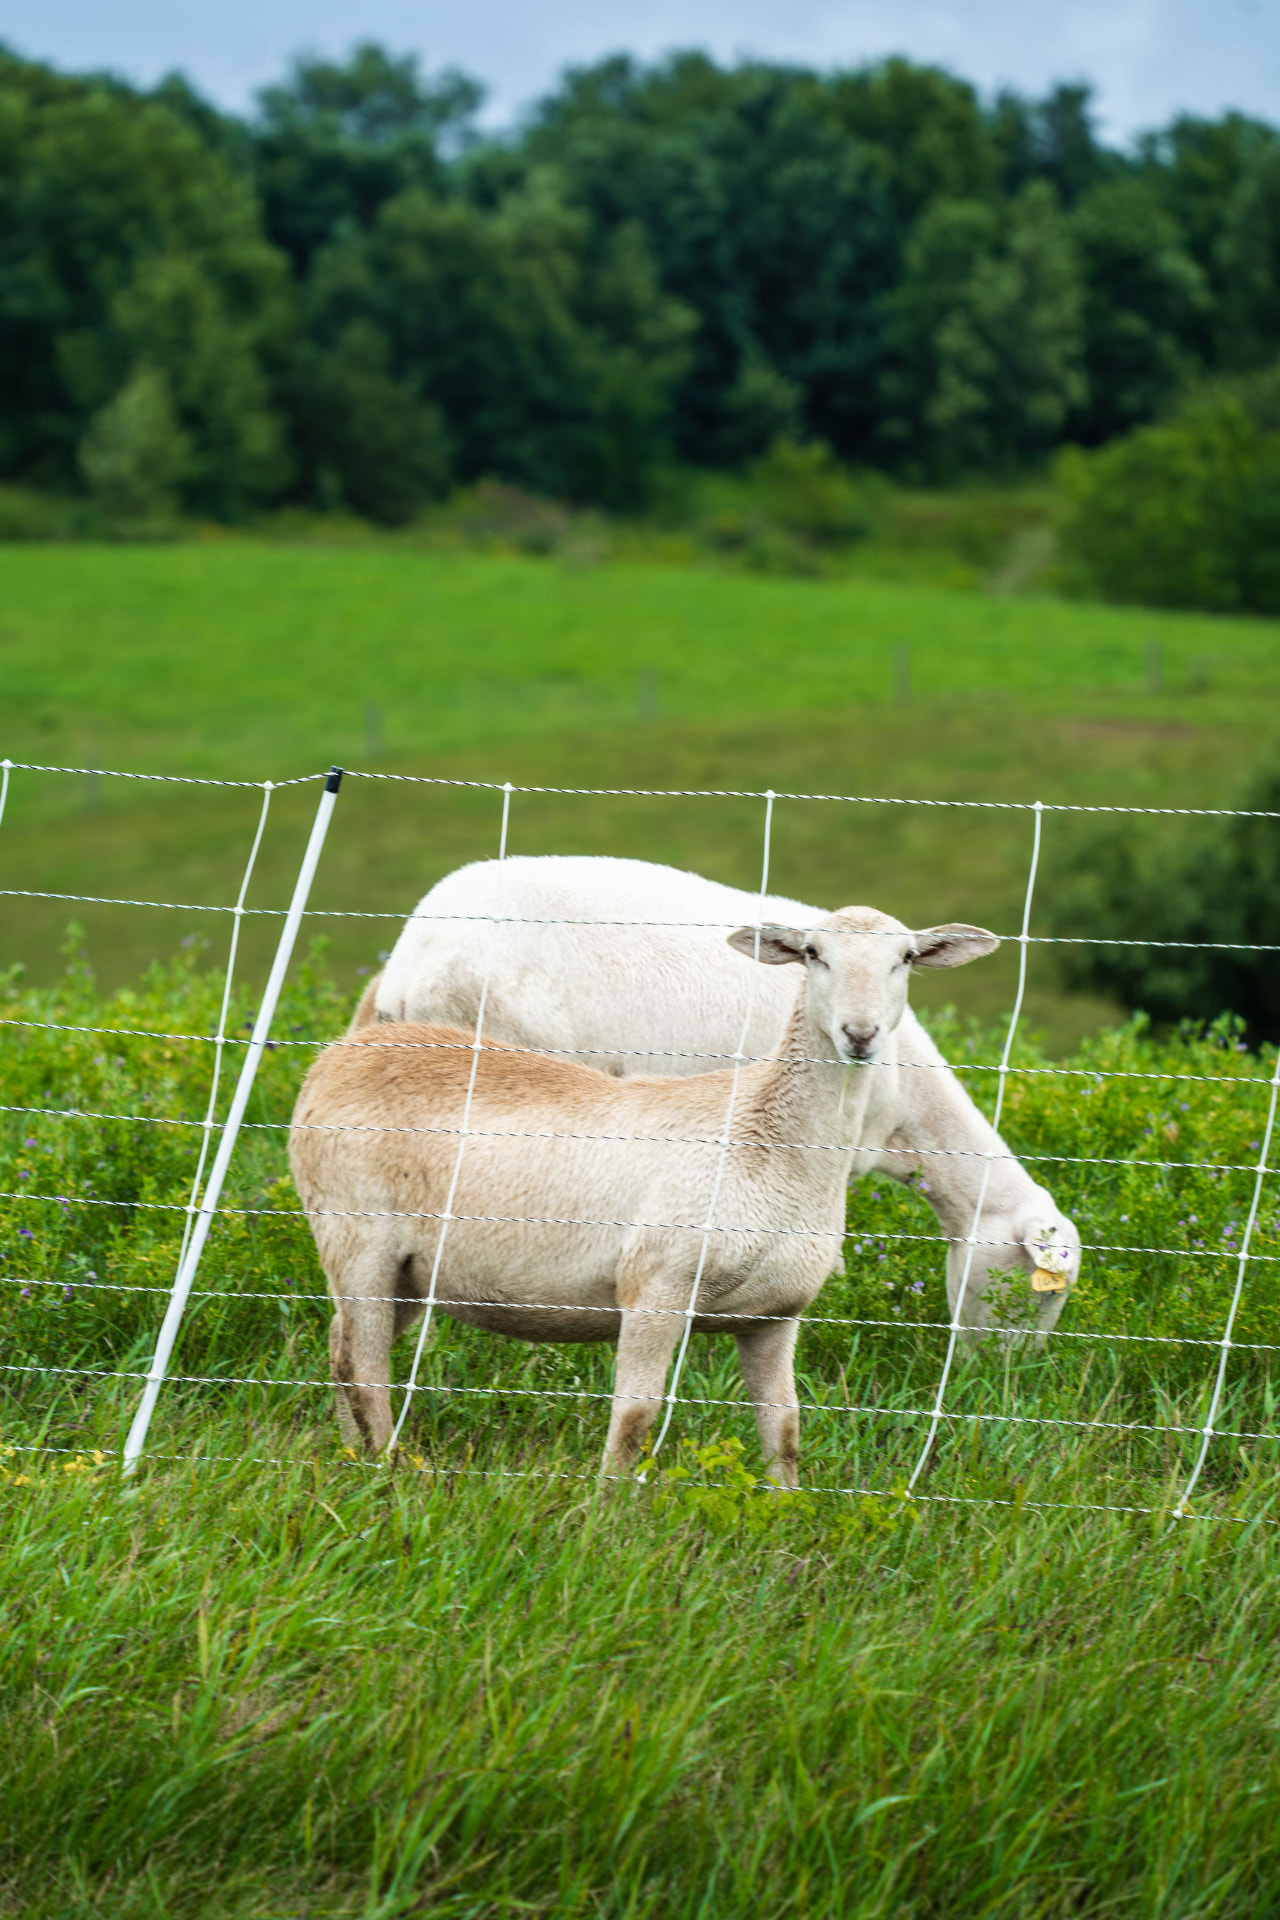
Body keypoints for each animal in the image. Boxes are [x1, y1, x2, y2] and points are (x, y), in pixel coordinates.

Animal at [292, 907, 999, 1482]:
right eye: (813, 953)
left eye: (905, 958)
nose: (860, 1033)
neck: (769, 1139)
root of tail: (344, 1050)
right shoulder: (655, 1285)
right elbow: (635, 1417)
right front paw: (608, 1517)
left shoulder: (775, 1314)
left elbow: (785, 1428)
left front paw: (786, 1511)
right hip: (357, 1236)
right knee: (365, 1369)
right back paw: (387, 1469)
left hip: (412, 1271)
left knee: (341, 1344)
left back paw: (353, 1454)